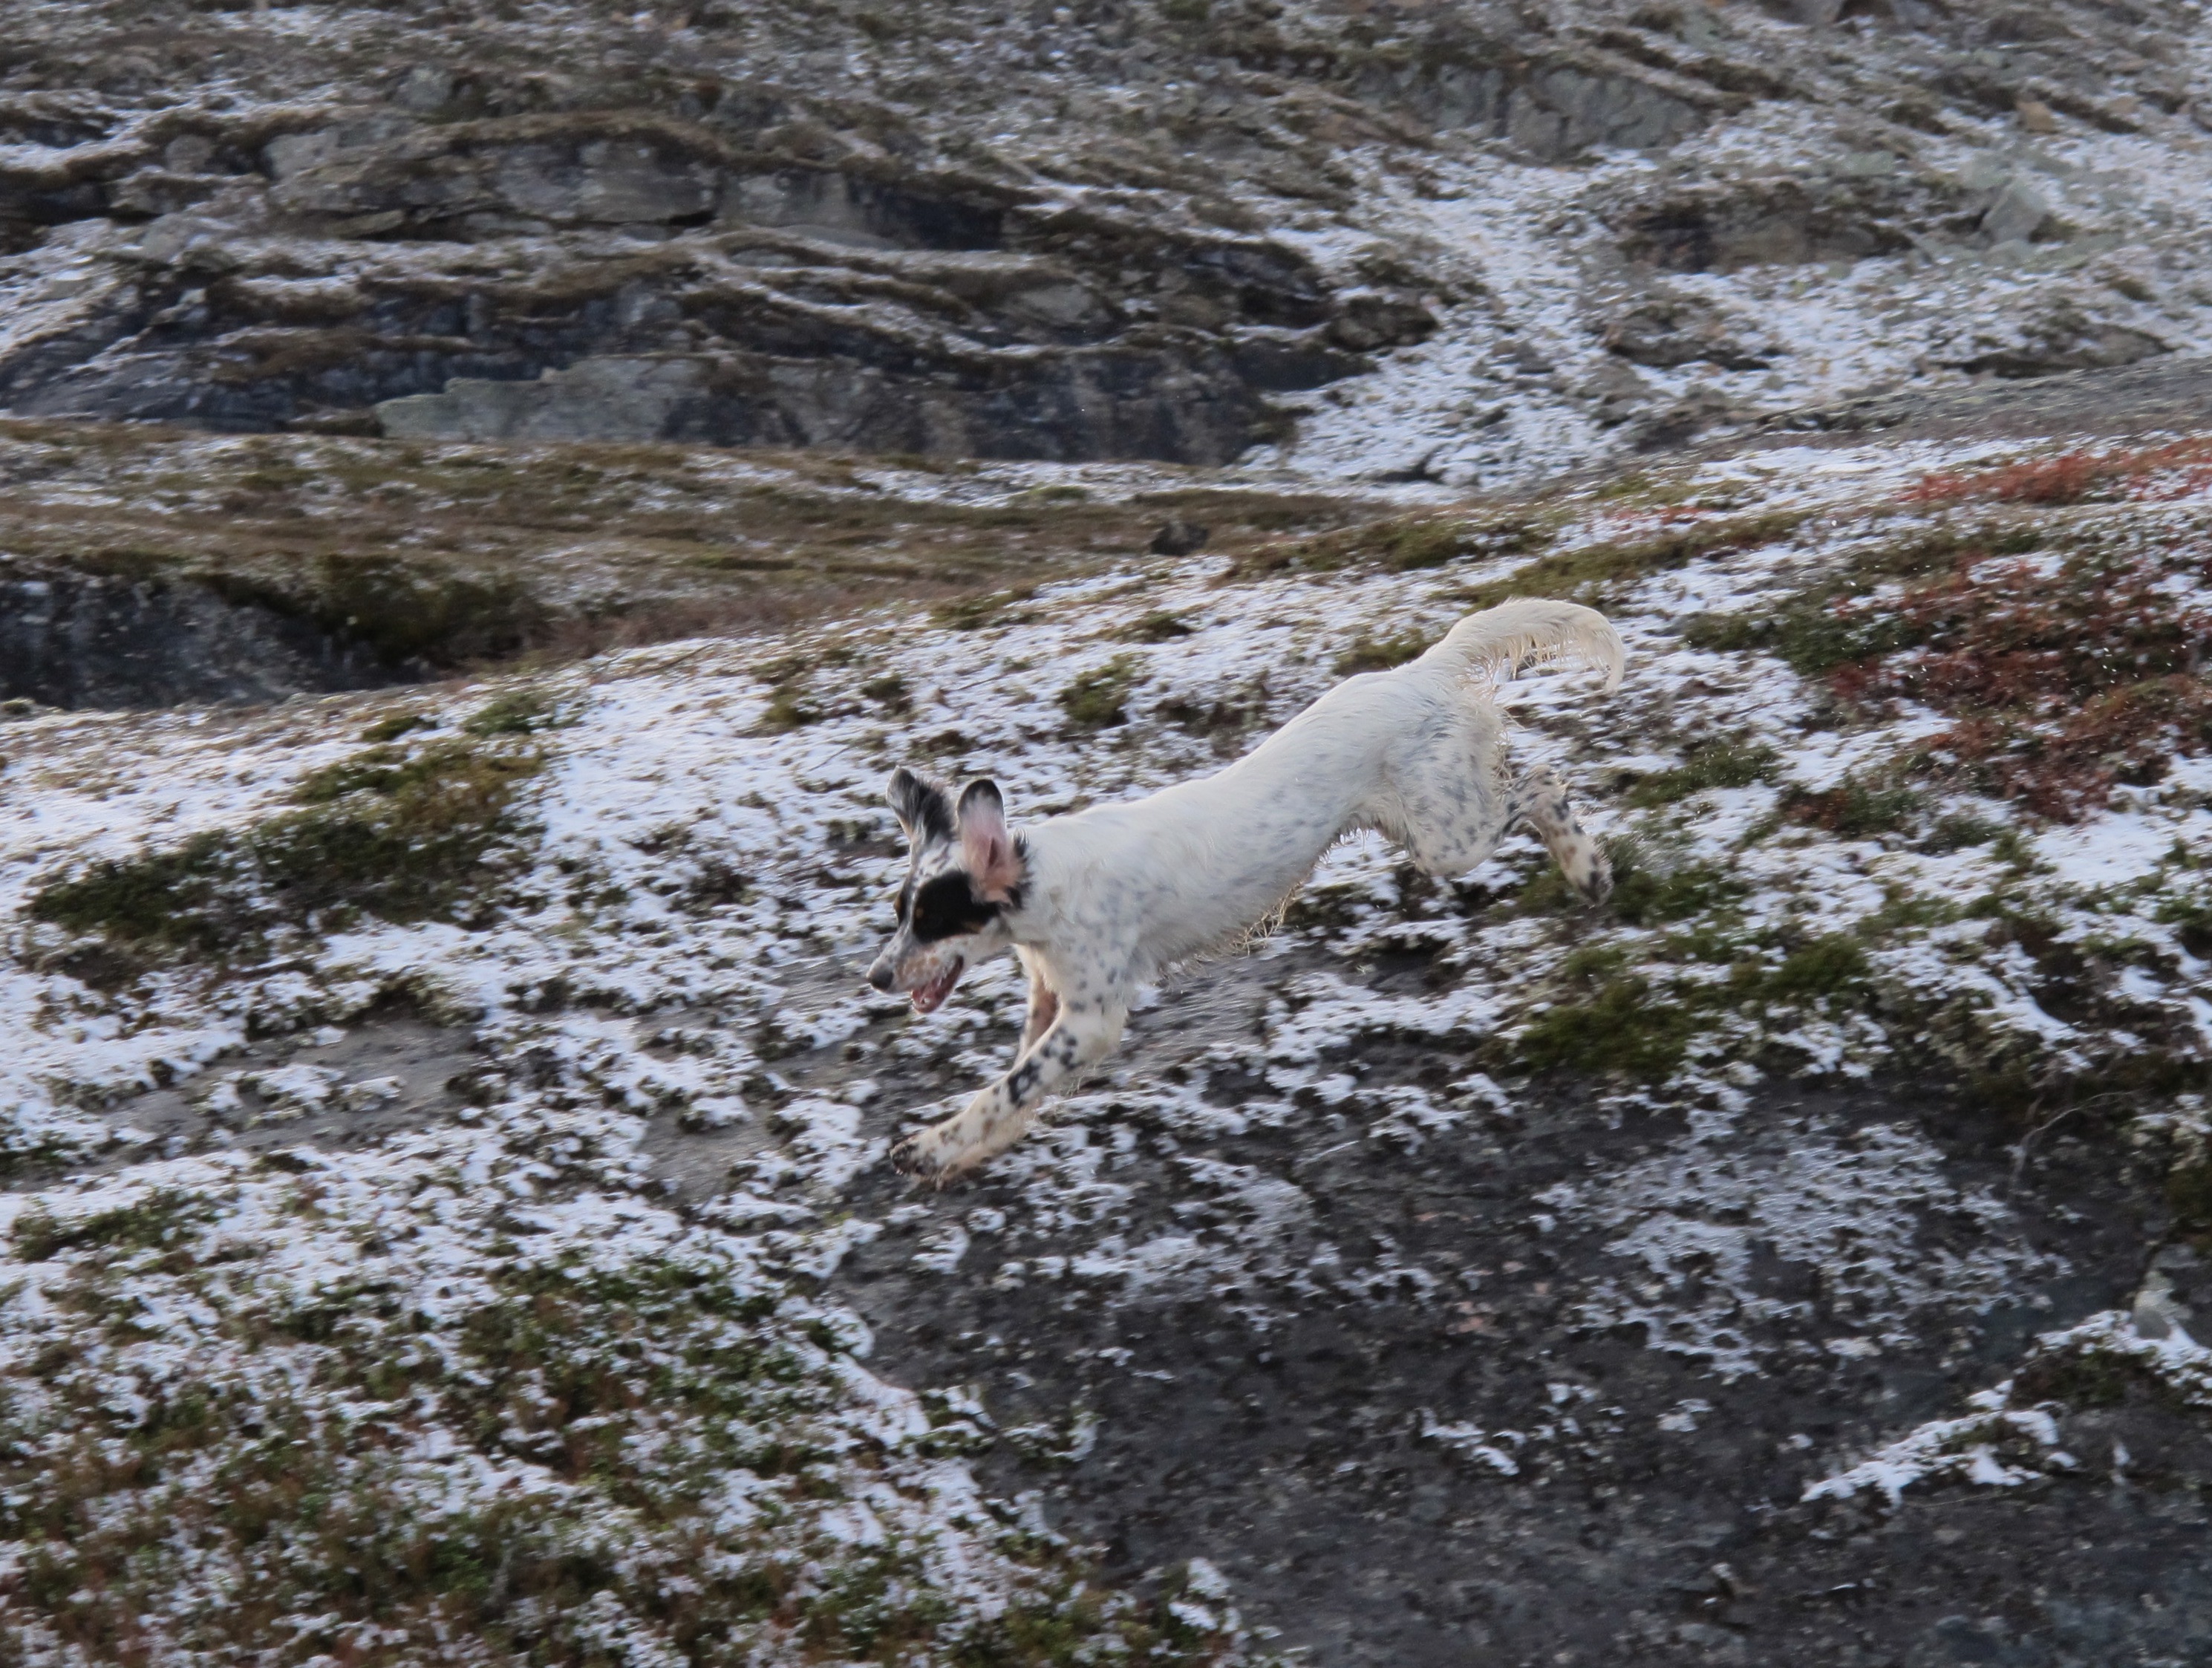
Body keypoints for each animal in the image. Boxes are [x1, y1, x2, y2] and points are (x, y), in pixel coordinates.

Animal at [866, 597, 1625, 1183]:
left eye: (933, 917)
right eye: (902, 912)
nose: (876, 977)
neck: (1045, 883)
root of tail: (1419, 670)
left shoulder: (1092, 1017)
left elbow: (1006, 1087)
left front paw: (927, 1149)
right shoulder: (1052, 999)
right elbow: (1017, 1083)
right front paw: (970, 1152)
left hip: (1446, 837)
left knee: (1542, 782)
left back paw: (1587, 870)